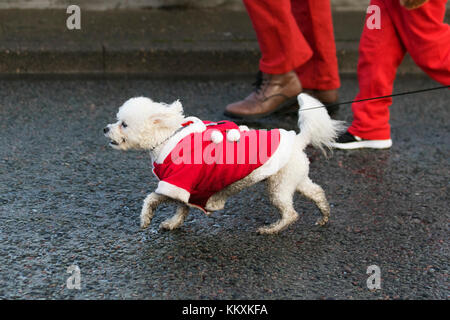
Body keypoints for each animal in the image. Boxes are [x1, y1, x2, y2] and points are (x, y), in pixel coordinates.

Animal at [104, 94, 344, 234]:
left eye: (124, 124)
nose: (105, 128)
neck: (165, 139)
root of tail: (298, 139)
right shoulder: (186, 189)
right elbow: (182, 208)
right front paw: (173, 223)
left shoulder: (178, 182)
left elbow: (152, 198)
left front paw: (146, 218)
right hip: (294, 179)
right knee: (317, 192)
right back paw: (324, 216)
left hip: (278, 187)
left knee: (291, 214)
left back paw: (271, 229)